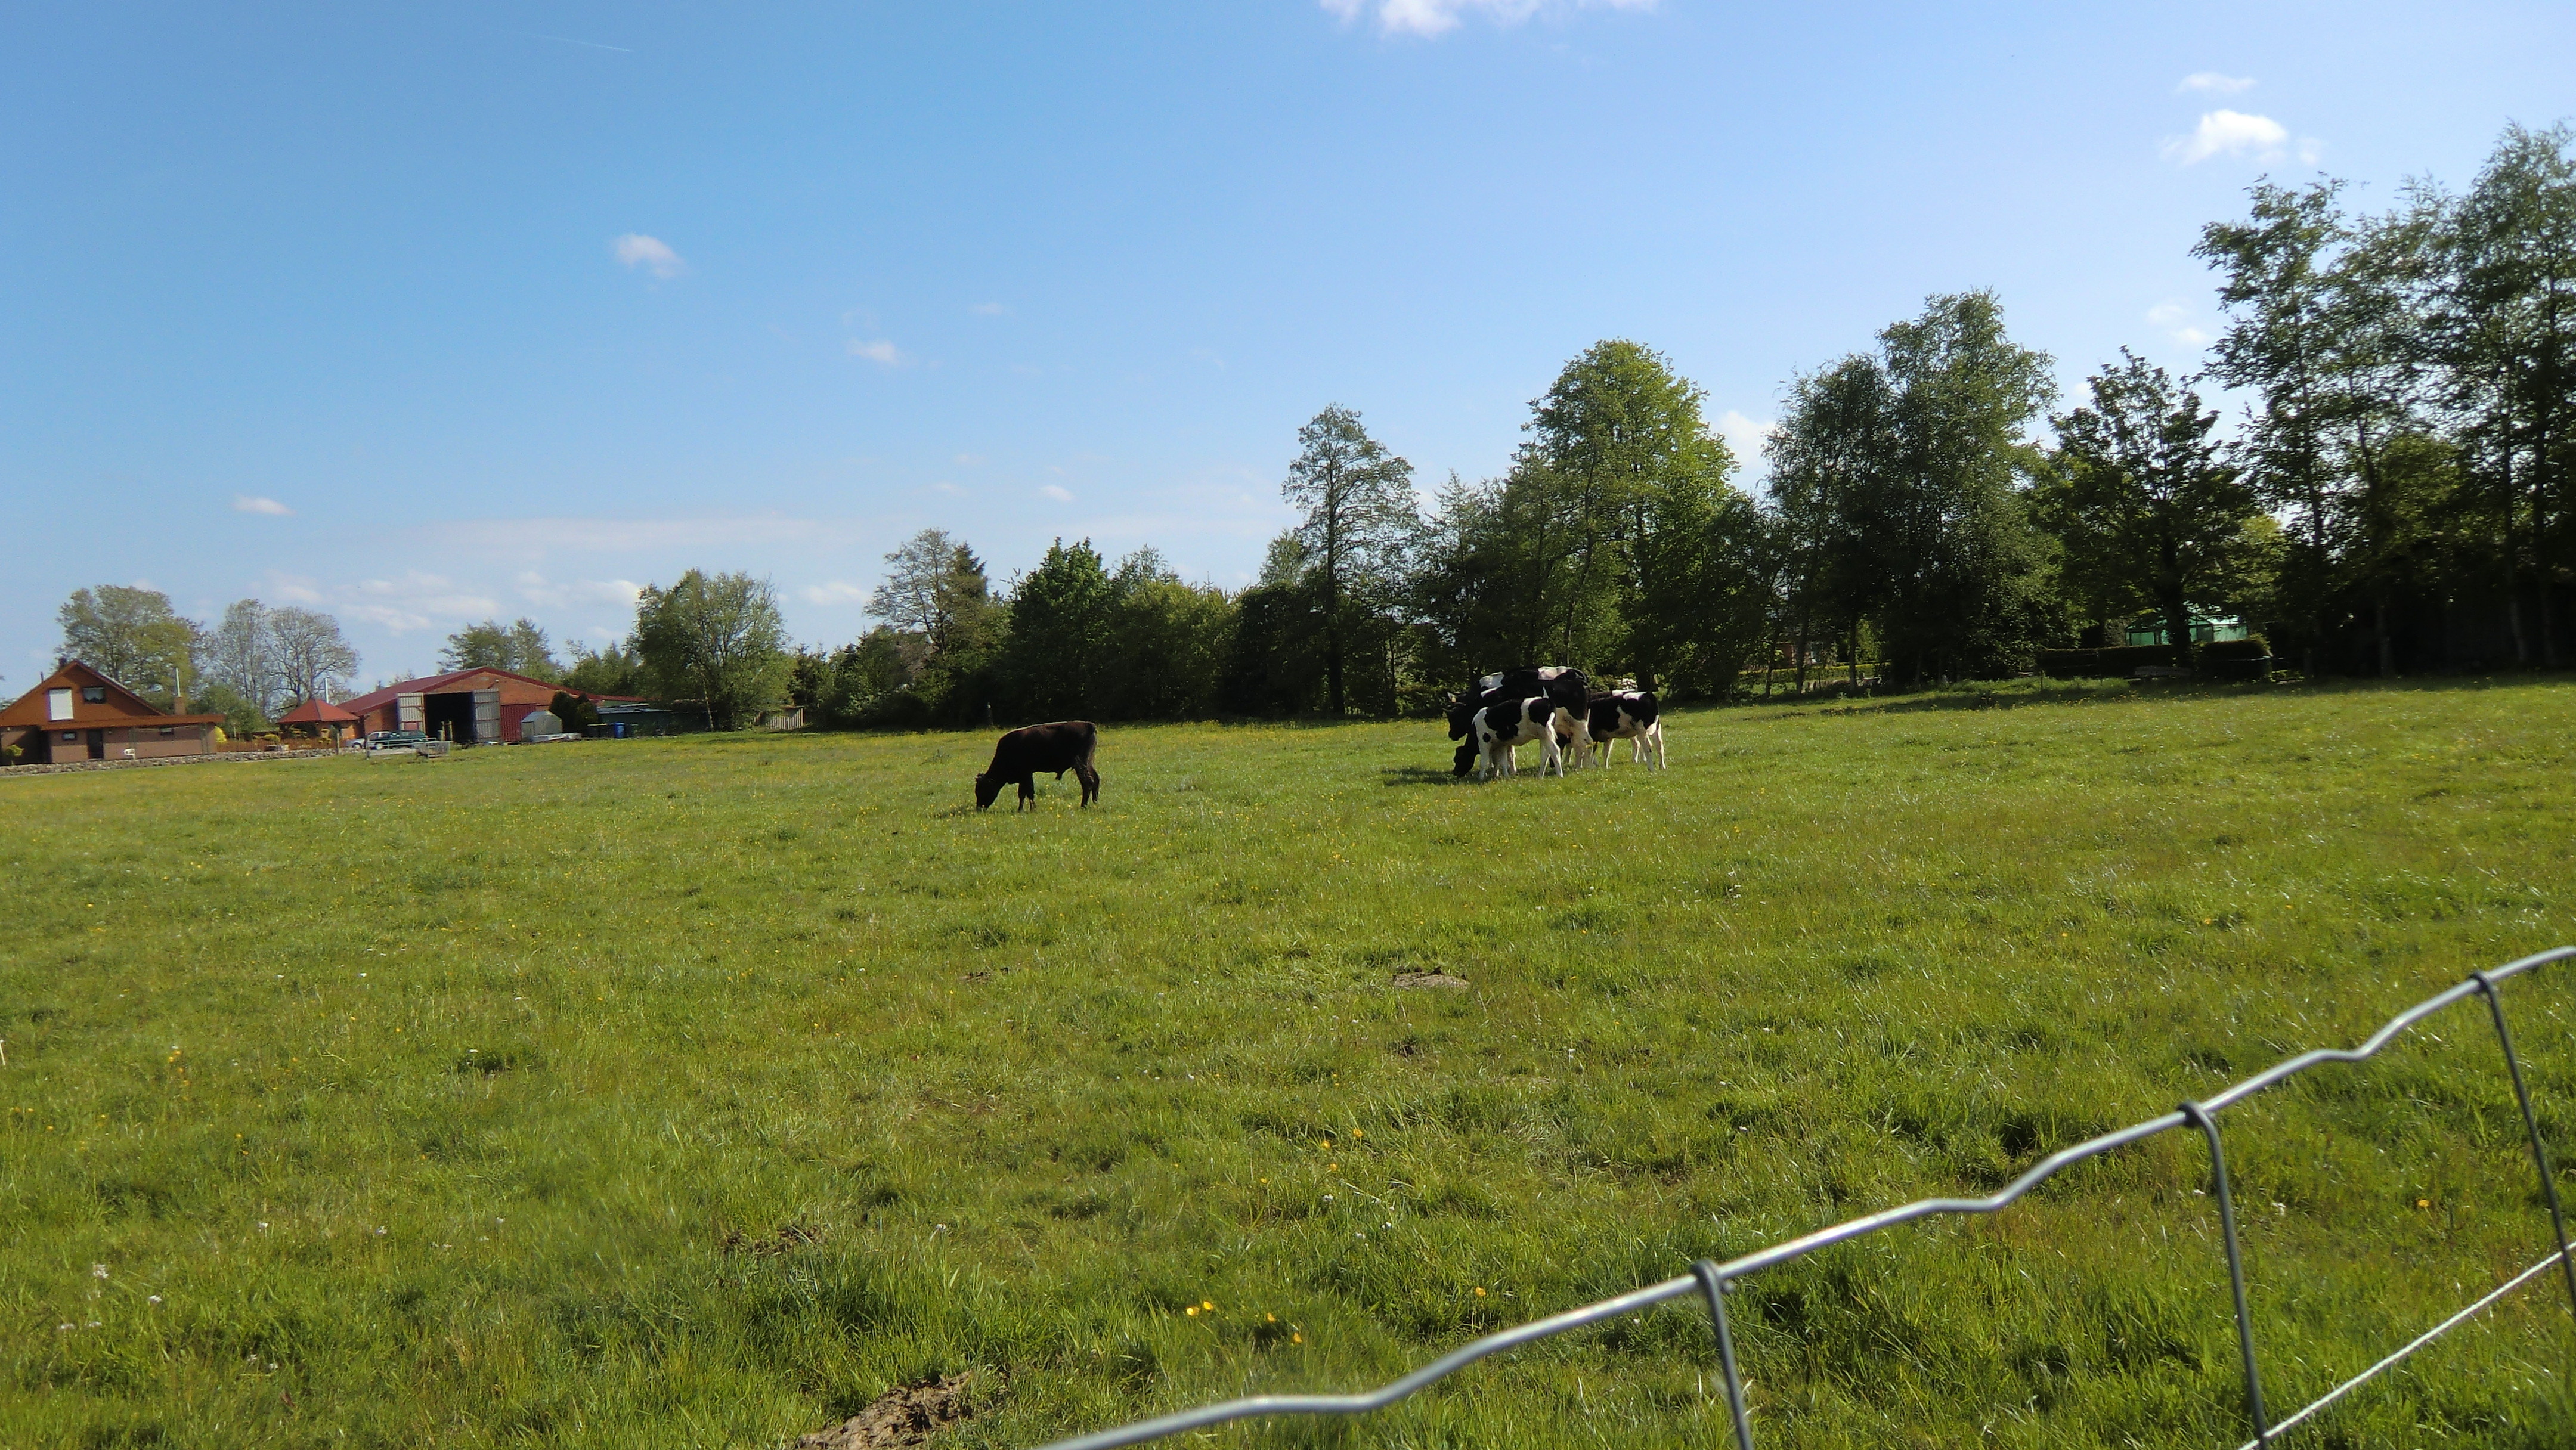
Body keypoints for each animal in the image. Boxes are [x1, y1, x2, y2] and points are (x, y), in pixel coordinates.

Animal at [973, 721, 1097, 814]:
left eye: (983, 789)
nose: (979, 808)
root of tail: (1091, 726)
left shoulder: (1026, 775)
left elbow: (1029, 792)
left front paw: (1032, 810)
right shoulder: (1024, 777)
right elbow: (1023, 794)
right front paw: (1021, 810)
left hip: (1080, 764)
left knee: (1087, 782)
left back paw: (1083, 806)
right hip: (1089, 762)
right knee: (1096, 779)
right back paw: (1095, 802)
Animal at [1453, 700, 1566, 783]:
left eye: (1457, 759)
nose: (1455, 773)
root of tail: (1548, 701)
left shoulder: (1483, 742)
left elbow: (1484, 762)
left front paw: (1481, 778)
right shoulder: (1501, 744)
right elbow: (1501, 761)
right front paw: (1502, 776)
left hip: (1545, 734)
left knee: (1555, 750)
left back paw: (1560, 775)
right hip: (1543, 736)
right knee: (1545, 754)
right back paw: (1540, 776)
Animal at [1566, 690, 1669, 772]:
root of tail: (1647, 694)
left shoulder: (1591, 735)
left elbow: (1587, 751)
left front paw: (1587, 767)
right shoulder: (1608, 737)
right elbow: (1606, 752)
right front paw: (1605, 768)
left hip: (1642, 730)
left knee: (1648, 748)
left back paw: (1651, 769)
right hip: (1656, 728)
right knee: (1659, 746)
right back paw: (1662, 767)